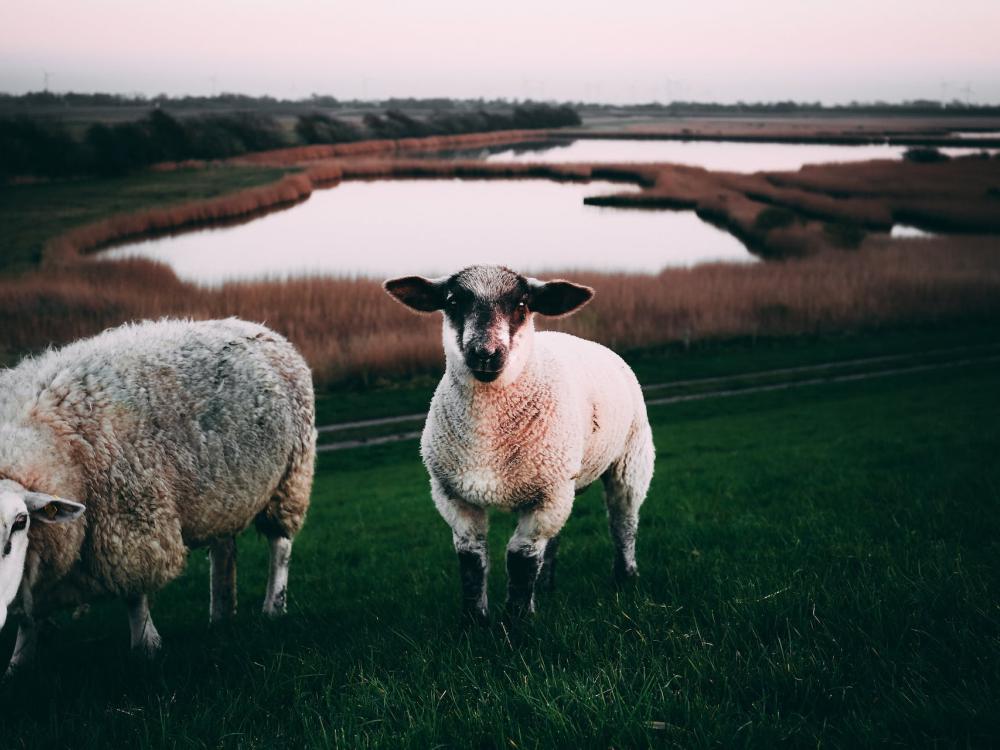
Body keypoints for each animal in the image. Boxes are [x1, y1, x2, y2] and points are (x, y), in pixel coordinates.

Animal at [0, 320, 316, 672]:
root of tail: (258, 327)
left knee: (280, 546)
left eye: (20, 522)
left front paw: (146, 645)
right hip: (223, 495)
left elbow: (134, 594)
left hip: (290, 479)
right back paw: (221, 615)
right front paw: (18, 663)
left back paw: (274, 607)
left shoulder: (131, 521)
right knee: (224, 550)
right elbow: (28, 617)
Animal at [382, 264, 656, 624]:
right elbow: (471, 559)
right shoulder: (452, 495)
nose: (485, 354)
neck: (486, 439)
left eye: (522, 304)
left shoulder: (546, 496)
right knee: (556, 540)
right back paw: (547, 587)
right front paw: (475, 621)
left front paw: (517, 622)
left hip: (630, 458)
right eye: (453, 301)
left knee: (623, 520)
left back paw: (626, 577)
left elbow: (520, 557)